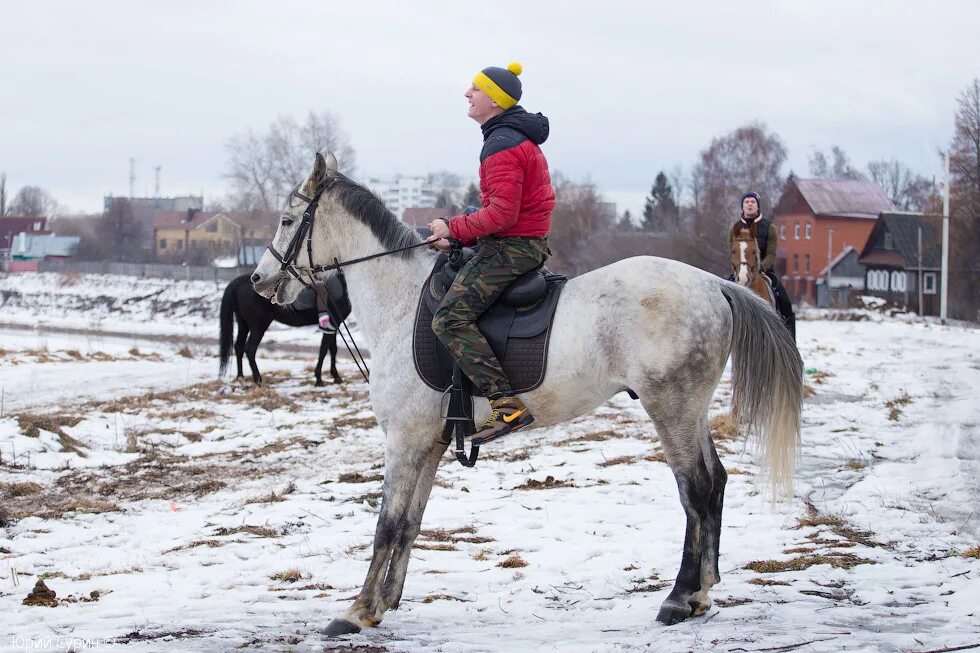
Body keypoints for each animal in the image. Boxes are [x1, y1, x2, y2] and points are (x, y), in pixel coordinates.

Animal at [249, 154, 800, 636]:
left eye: (288, 219)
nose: (259, 280)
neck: (401, 302)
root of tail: (713, 285)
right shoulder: (428, 443)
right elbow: (409, 522)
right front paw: (384, 603)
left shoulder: (404, 441)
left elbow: (387, 523)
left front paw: (357, 610)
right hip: (690, 409)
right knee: (716, 481)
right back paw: (703, 592)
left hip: (672, 408)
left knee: (696, 489)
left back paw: (680, 597)